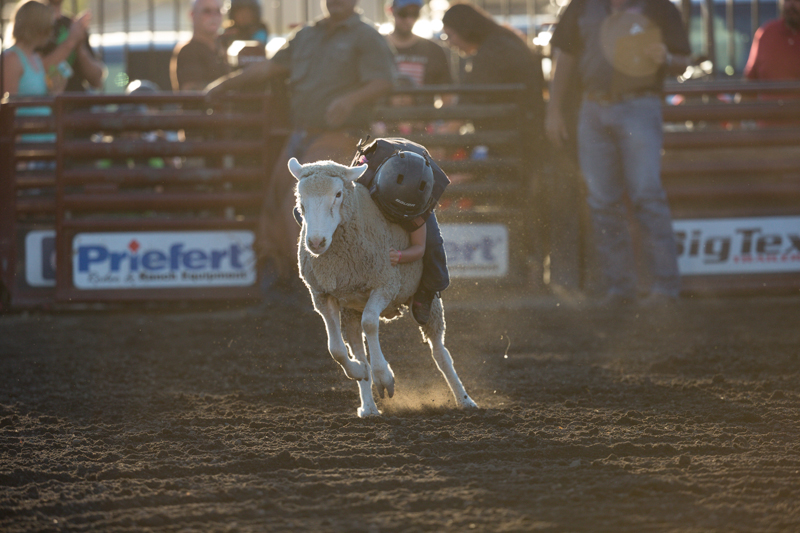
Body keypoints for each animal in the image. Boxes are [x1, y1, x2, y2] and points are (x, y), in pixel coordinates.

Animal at [289, 157, 478, 417]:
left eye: (338, 194)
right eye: (300, 198)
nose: (316, 242)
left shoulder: (385, 283)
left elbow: (370, 322)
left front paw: (384, 377)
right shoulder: (321, 295)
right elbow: (335, 349)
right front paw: (359, 371)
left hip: (429, 304)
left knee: (440, 353)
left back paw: (465, 400)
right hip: (350, 310)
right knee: (356, 346)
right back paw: (368, 406)